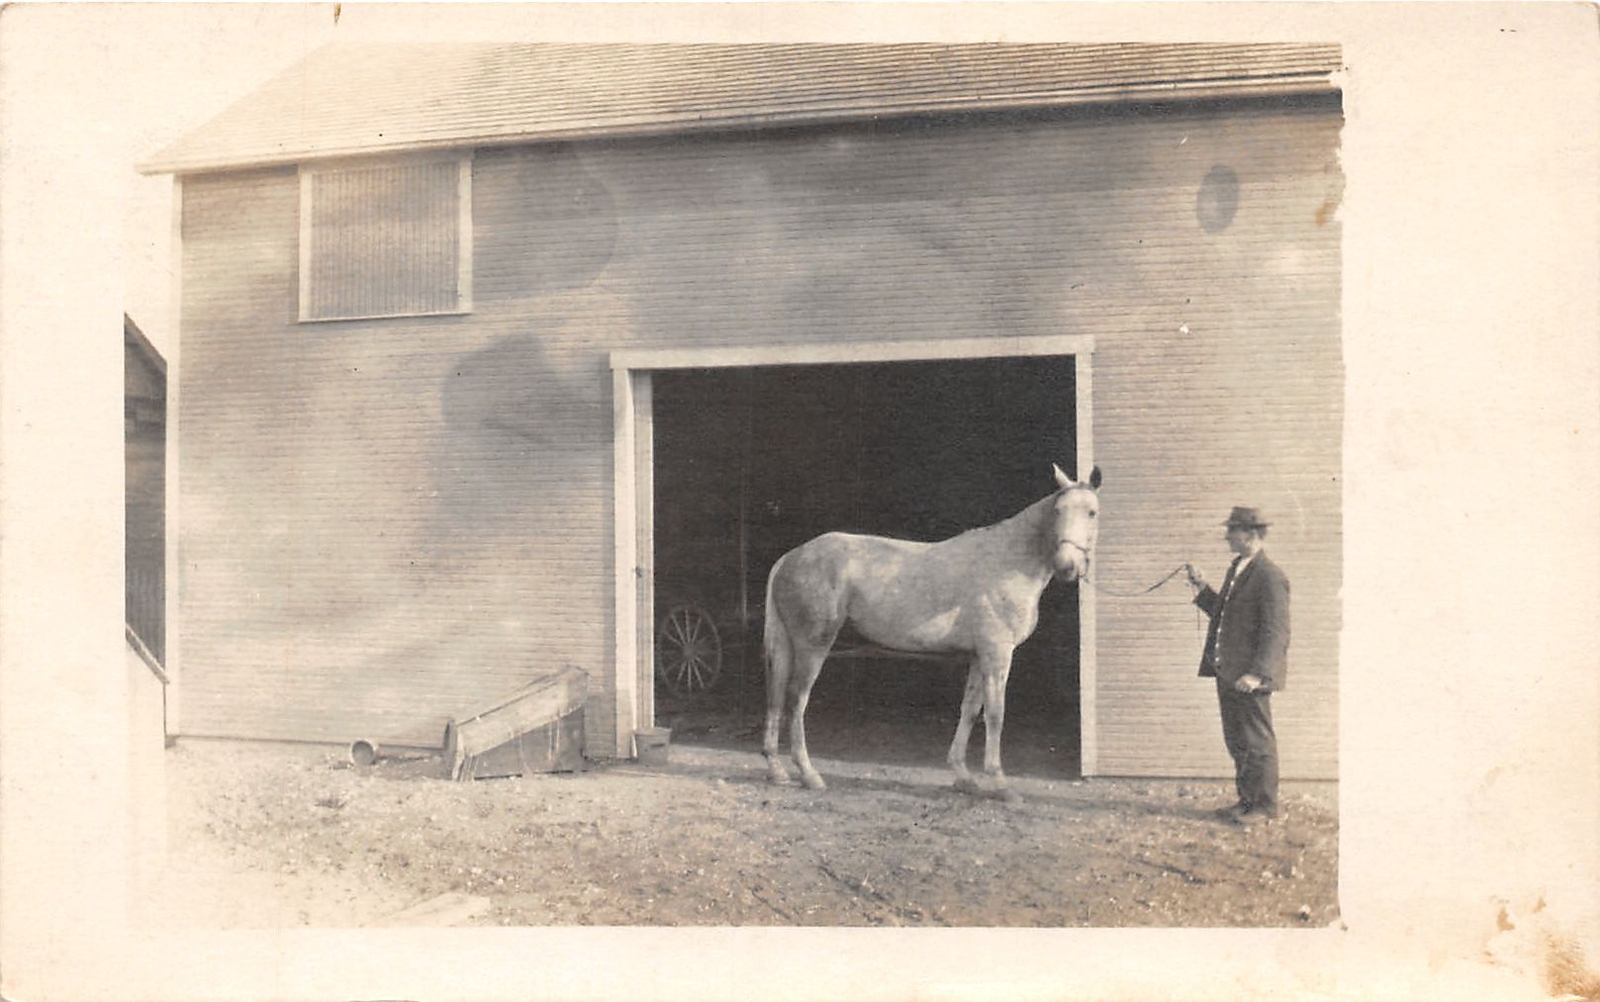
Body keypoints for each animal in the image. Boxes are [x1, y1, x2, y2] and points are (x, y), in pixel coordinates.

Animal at [761, 464, 1101, 800]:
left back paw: (777, 770)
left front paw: (964, 777)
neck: (1007, 559)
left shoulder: (978, 656)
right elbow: (995, 714)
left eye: (1092, 512)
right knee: (797, 698)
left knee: (776, 694)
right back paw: (809, 774)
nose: (1067, 565)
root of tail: (790, 557)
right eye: (1058, 510)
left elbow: (970, 710)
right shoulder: (997, 653)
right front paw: (1000, 784)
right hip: (813, 645)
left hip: (788, 645)